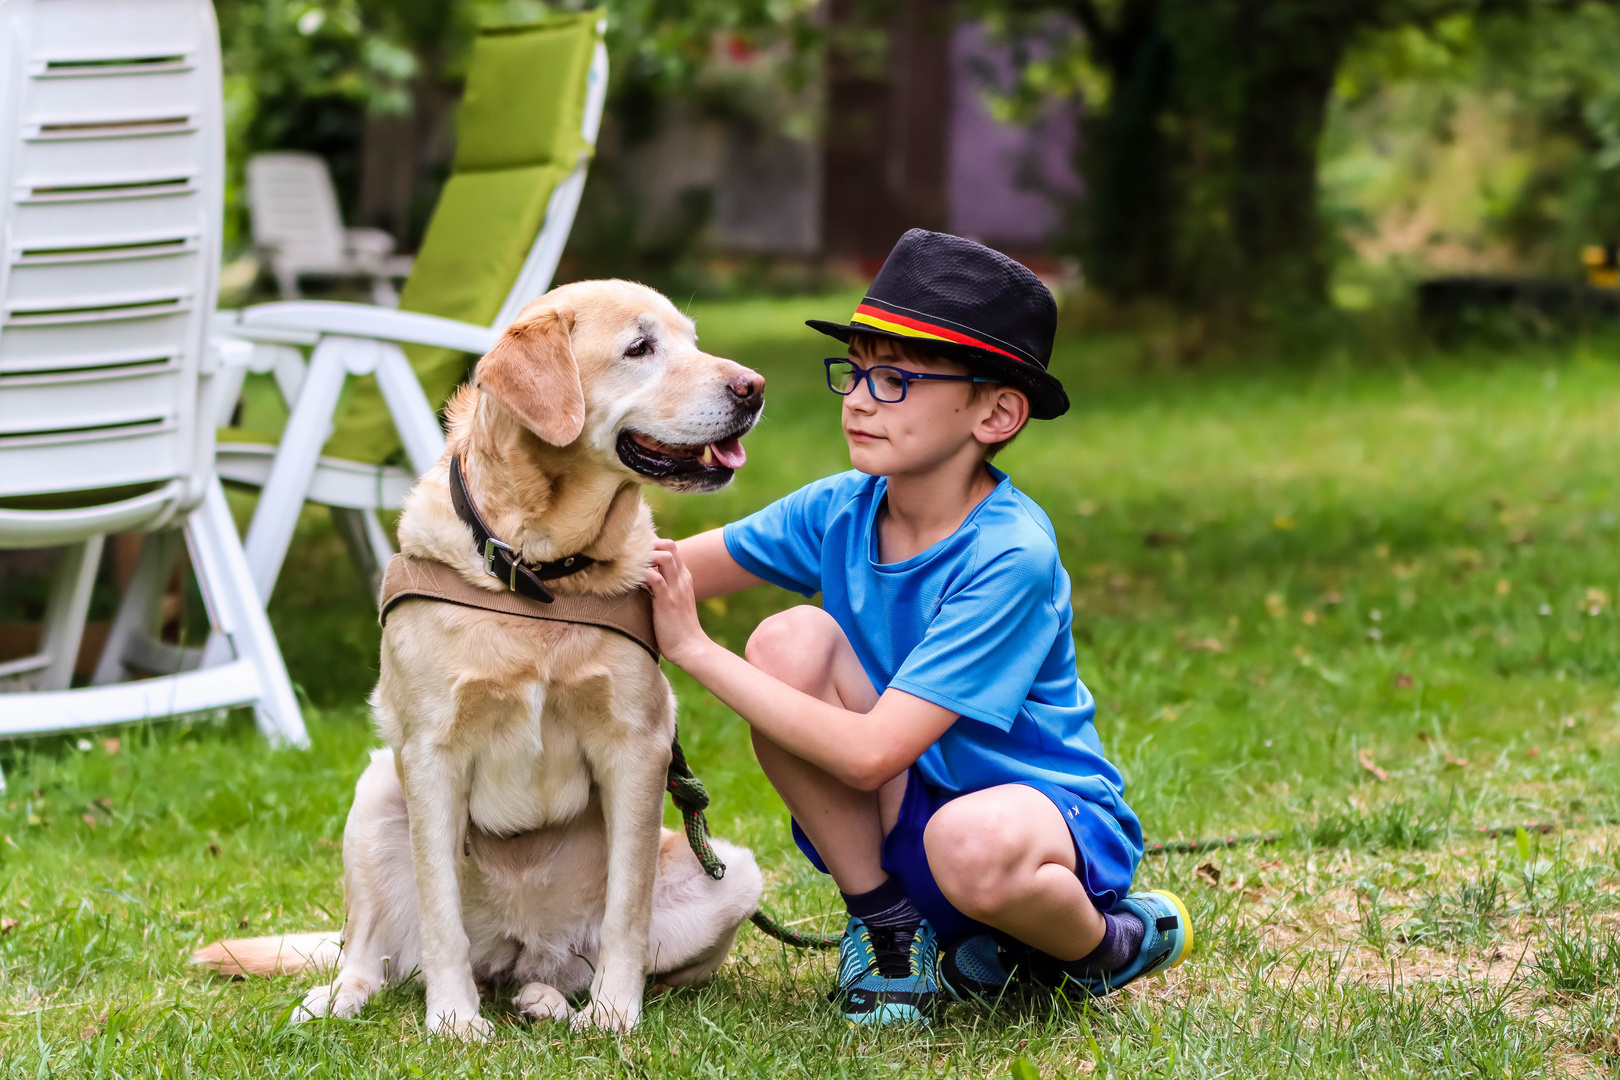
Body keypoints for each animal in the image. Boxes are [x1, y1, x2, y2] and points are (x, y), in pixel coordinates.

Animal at [196, 281, 764, 1036]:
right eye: (640, 348)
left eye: (693, 341)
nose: (753, 388)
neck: (541, 572)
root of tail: (518, 947)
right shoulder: (430, 753)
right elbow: (441, 915)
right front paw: (454, 1024)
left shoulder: (637, 749)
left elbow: (627, 909)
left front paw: (615, 1015)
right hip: (376, 790)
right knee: (367, 952)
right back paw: (339, 997)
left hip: (734, 871)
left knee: (570, 969)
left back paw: (550, 1001)